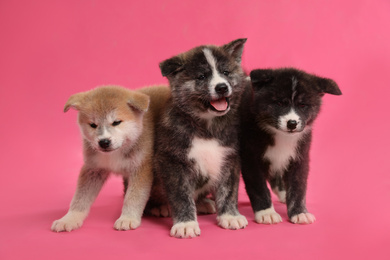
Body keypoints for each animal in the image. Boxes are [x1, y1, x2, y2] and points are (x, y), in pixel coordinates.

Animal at [51, 85, 170, 232]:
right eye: (93, 124)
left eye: (116, 122)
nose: (104, 142)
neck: (117, 152)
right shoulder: (93, 169)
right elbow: (80, 198)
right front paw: (69, 218)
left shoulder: (141, 168)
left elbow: (134, 197)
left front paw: (128, 218)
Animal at [151, 37, 248, 239]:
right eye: (202, 77)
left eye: (226, 72)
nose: (222, 87)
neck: (206, 127)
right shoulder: (171, 161)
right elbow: (181, 195)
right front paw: (185, 223)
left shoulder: (229, 157)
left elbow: (229, 190)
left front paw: (230, 215)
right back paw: (159, 206)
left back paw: (203, 203)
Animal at [241, 68, 342, 224]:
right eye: (280, 103)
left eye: (302, 105)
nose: (292, 123)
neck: (280, 135)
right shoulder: (250, 158)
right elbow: (258, 187)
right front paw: (266, 212)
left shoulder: (300, 156)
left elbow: (298, 186)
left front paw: (299, 212)